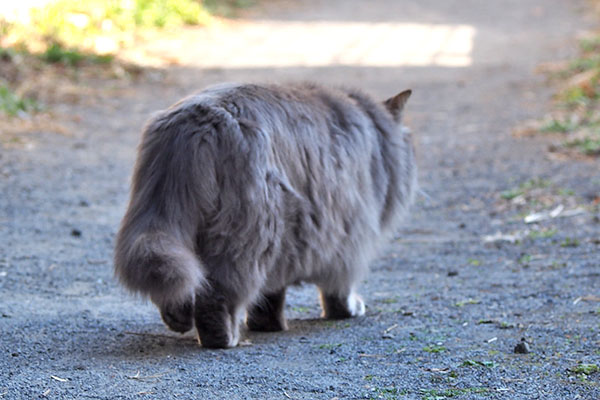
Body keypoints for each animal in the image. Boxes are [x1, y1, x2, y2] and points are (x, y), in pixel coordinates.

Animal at [116, 81, 418, 346]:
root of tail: (198, 119)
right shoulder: (348, 238)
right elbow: (337, 291)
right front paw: (349, 309)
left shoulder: (292, 247)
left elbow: (271, 296)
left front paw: (267, 324)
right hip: (249, 237)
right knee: (218, 296)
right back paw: (224, 339)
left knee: (185, 283)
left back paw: (181, 320)